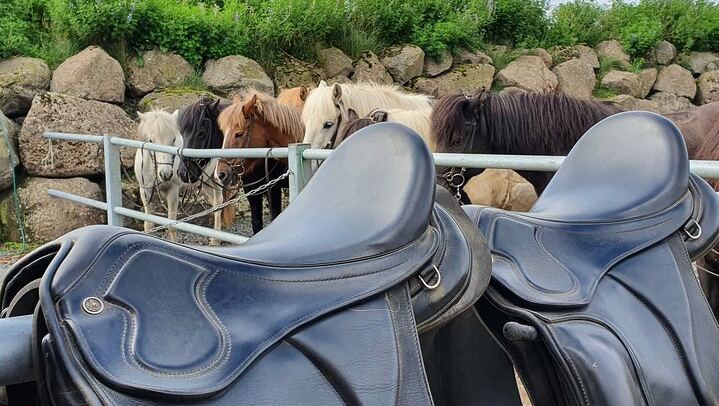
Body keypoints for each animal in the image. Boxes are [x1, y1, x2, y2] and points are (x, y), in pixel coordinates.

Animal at [134, 110, 185, 242]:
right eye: (150, 140)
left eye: (173, 139)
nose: (166, 174)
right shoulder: (145, 191)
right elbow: (148, 224)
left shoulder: (173, 191)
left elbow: (171, 226)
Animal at [215, 90, 304, 234]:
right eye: (223, 133)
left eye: (239, 134)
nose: (221, 174)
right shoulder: (252, 191)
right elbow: (256, 223)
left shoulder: (273, 189)